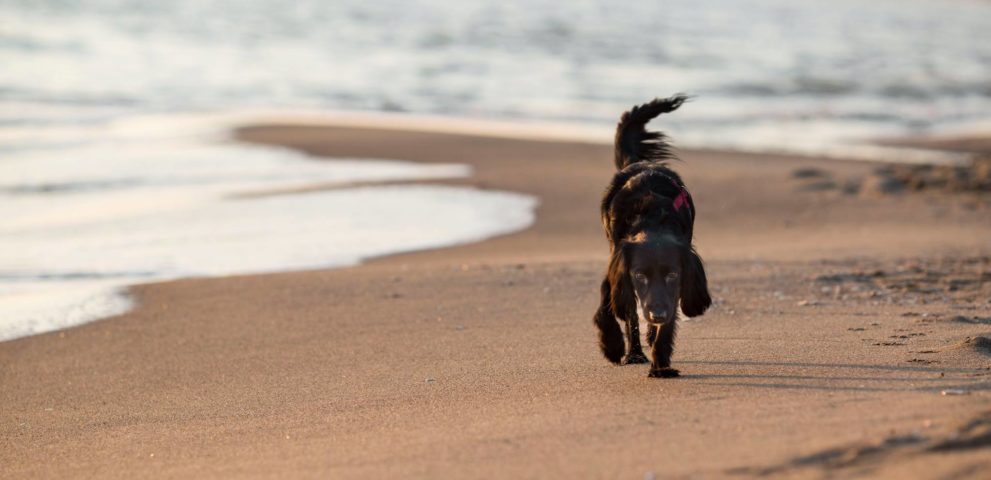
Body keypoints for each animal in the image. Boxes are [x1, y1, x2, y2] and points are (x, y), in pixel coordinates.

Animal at [592, 94, 708, 378]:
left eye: (673, 275)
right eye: (640, 275)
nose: (657, 314)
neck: (653, 217)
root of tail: (641, 163)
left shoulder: (675, 286)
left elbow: (667, 323)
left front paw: (661, 363)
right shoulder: (619, 262)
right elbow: (612, 302)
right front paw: (612, 345)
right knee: (630, 312)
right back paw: (634, 352)